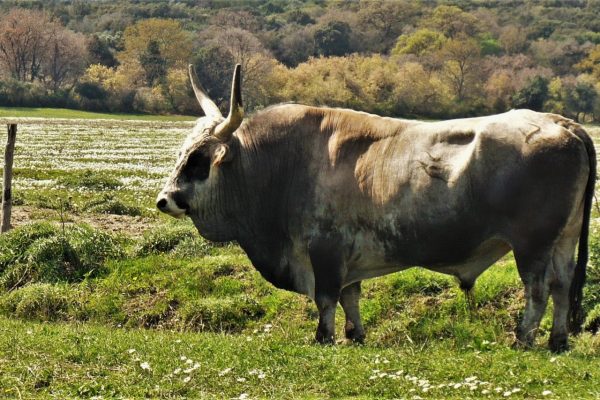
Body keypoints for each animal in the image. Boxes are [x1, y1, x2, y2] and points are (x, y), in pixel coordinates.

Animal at [158, 64, 596, 352]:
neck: (282, 163)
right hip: (564, 240)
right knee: (561, 286)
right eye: (182, 152)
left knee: (538, 289)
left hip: (532, 245)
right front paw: (355, 335)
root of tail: (562, 123)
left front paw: (324, 337)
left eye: (198, 160)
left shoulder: (326, 250)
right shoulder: (347, 255)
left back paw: (522, 339)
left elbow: (327, 297)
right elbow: (350, 297)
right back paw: (558, 341)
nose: (164, 200)